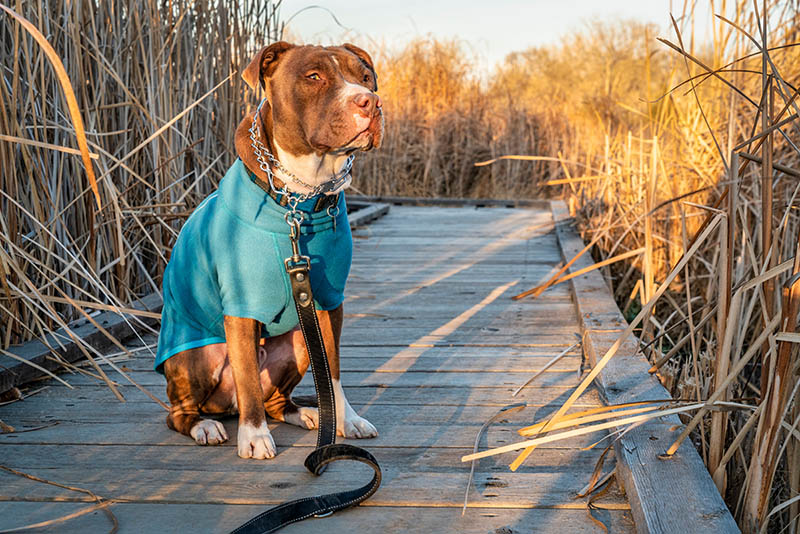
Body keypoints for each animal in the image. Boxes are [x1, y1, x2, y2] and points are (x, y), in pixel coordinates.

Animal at [155, 42, 384, 460]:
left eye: (365, 77)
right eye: (313, 77)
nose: (371, 102)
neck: (302, 197)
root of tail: (223, 406)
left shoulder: (329, 301)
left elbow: (334, 369)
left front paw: (346, 419)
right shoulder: (241, 308)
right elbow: (246, 376)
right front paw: (255, 436)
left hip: (299, 342)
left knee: (277, 398)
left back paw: (307, 413)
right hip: (195, 359)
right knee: (181, 411)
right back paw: (205, 426)